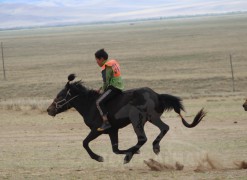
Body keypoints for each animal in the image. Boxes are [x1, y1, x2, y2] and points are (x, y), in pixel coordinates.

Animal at [47, 74, 206, 164]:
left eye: (60, 96)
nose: (49, 110)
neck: (90, 104)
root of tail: (157, 95)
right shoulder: (112, 131)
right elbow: (115, 149)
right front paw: (132, 152)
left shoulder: (97, 130)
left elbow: (85, 143)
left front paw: (99, 158)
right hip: (152, 119)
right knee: (164, 128)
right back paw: (153, 147)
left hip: (138, 120)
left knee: (143, 138)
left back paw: (130, 155)